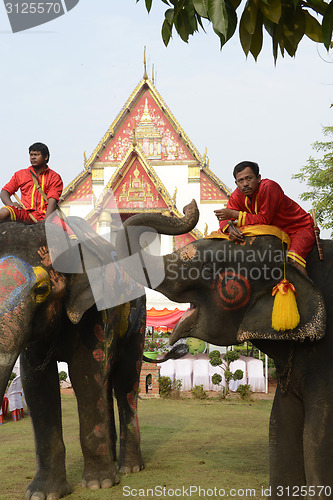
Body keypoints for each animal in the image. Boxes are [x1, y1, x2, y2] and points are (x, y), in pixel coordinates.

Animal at [0, 219, 145, 500]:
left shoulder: (95, 312)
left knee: (126, 381)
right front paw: (42, 493)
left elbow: (84, 376)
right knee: (106, 381)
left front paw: (98, 484)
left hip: (138, 319)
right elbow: (37, 385)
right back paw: (113, 462)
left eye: (41, 290)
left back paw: (130, 468)